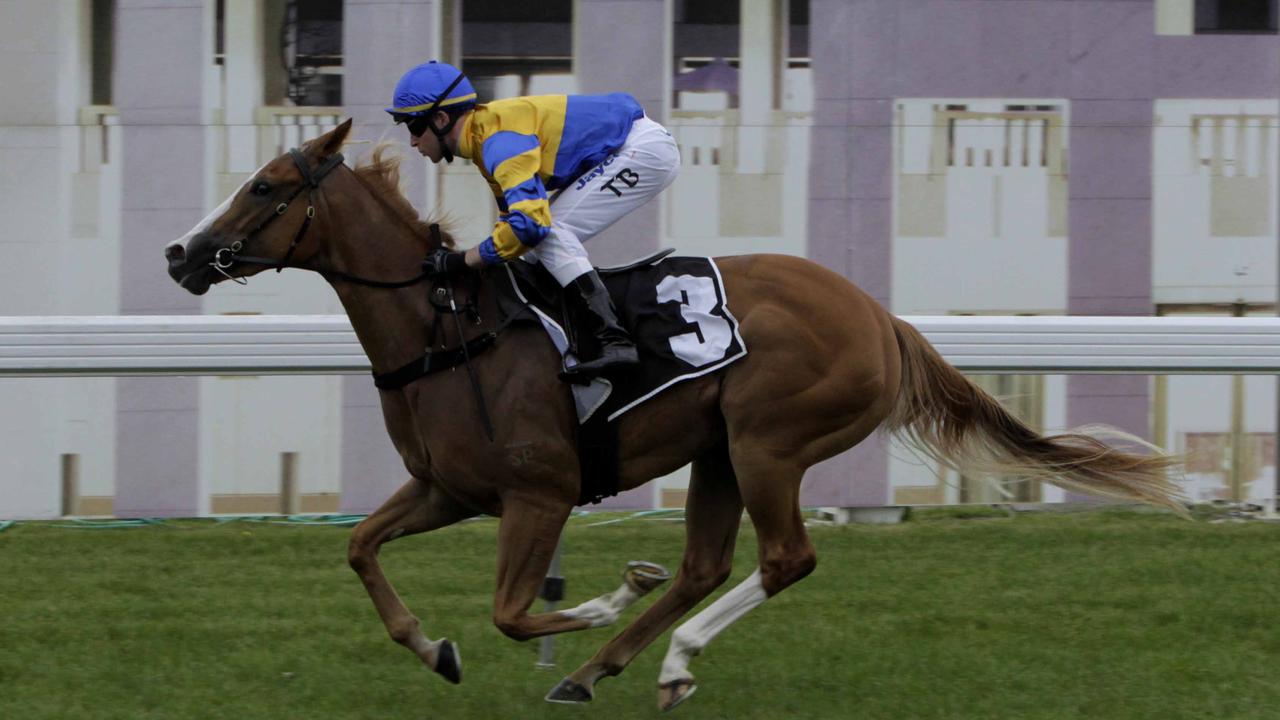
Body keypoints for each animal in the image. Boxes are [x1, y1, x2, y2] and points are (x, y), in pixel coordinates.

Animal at [165, 120, 1182, 707]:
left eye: (264, 186)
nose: (182, 253)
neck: (448, 328)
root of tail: (879, 317)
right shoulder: (449, 490)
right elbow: (360, 548)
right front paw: (433, 648)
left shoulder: (539, 493)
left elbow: (513, 612)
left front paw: (600, 597)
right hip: (719, 449)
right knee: (706, 564)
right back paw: (602, 671)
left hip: (769, 442)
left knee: (783, 558)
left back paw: (662, 658)